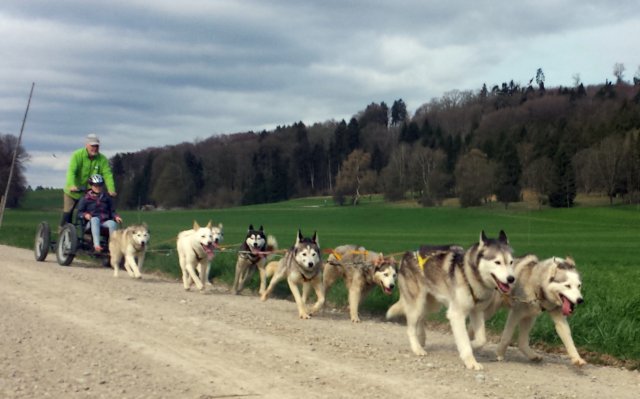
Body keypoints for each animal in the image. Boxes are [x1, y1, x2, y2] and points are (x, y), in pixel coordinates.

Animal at [384, 231, 516, 372]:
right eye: (497, 262)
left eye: (511, 262)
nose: (511, 279)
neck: (470, 275)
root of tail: (407, 255)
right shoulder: (456, 314)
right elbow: (464, 340)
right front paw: (471, 361)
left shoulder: (477, 311)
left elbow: (481, 340)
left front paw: (472, 345)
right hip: (417, 304)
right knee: (410, 328)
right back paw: (417, 348)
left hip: (432, 304)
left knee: (421, 318)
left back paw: (422, 338)